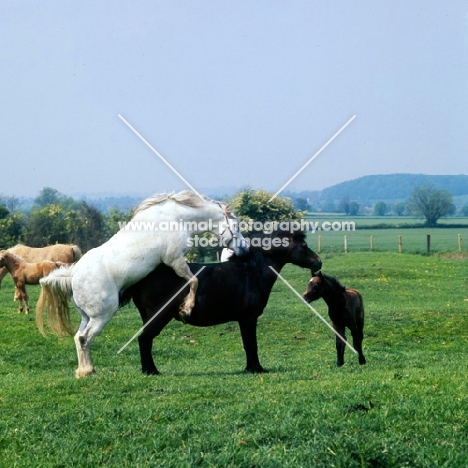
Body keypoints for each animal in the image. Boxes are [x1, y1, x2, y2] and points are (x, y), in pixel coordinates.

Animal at [36, 190, 249, 376]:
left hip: (86, 317)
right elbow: (194, 281)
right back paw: (88, 371)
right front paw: (186, 309)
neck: (176, 219)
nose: (245, 249)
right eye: (237, 227)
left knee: (78, 337)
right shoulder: (175, 260)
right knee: (84, 338)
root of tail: (73, 275)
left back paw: (84, 371)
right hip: (101, 317)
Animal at [120, 229, 322, 374]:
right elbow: (251, 343)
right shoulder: (249, 318)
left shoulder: (243, 320)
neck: (251, 271)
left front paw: (249, 368)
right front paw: (257, 369)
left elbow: (246, 343)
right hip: (158, 317)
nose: (318, 263)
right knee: (145, 340)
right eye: (304, 245)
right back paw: (151, 371)